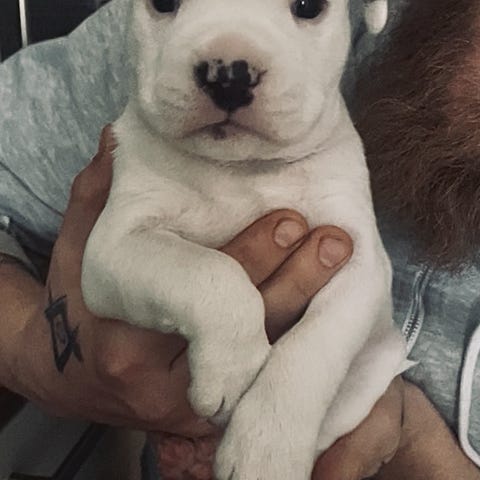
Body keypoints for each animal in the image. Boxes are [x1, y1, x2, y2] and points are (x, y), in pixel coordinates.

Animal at [82, 0, 409, 478]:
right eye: (162, 4)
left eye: (309, 7)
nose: (229, 75)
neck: (239, 170)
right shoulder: (115, 246)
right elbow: (208, 271)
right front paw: (232, 366)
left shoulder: (357, 261)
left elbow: (311, 347)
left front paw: (265, 449)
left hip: (373, 372)